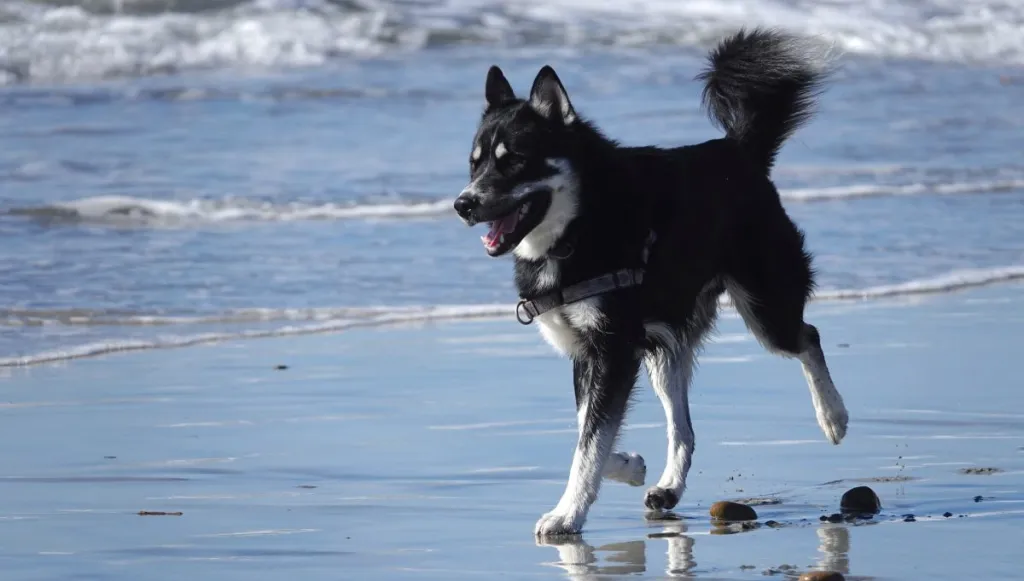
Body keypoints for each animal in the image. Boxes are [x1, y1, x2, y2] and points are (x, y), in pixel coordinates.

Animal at [454, 27, 847, 536]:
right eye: (475, 164)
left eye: (514, 161)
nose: (463, 204)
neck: (583, 223)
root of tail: (737, 151)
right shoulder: (595, 351)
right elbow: (589, 430)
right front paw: (628, 465)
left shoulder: (614, 347)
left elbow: (589, 441)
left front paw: (568, 512)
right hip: (664, 341)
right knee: (685, 426)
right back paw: (669, 486)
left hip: (764, 306)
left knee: (806, 336)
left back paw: (833, 416)